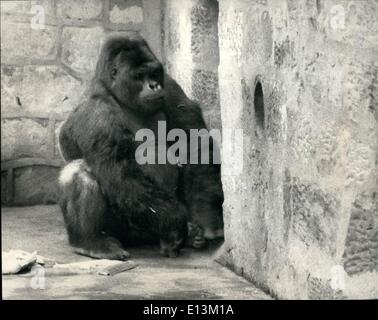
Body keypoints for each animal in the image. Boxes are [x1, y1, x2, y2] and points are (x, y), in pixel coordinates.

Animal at [58, 34, 223, 260]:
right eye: (139, 75)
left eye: (153, 73)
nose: (154, 86)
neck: (116, 92)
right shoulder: (96, 111)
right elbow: (121, 172)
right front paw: (174, 221)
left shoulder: (170, 86)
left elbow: (195, 145)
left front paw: (208, 217)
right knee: (78, 171)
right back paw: (91, 242)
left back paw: (191, 235)